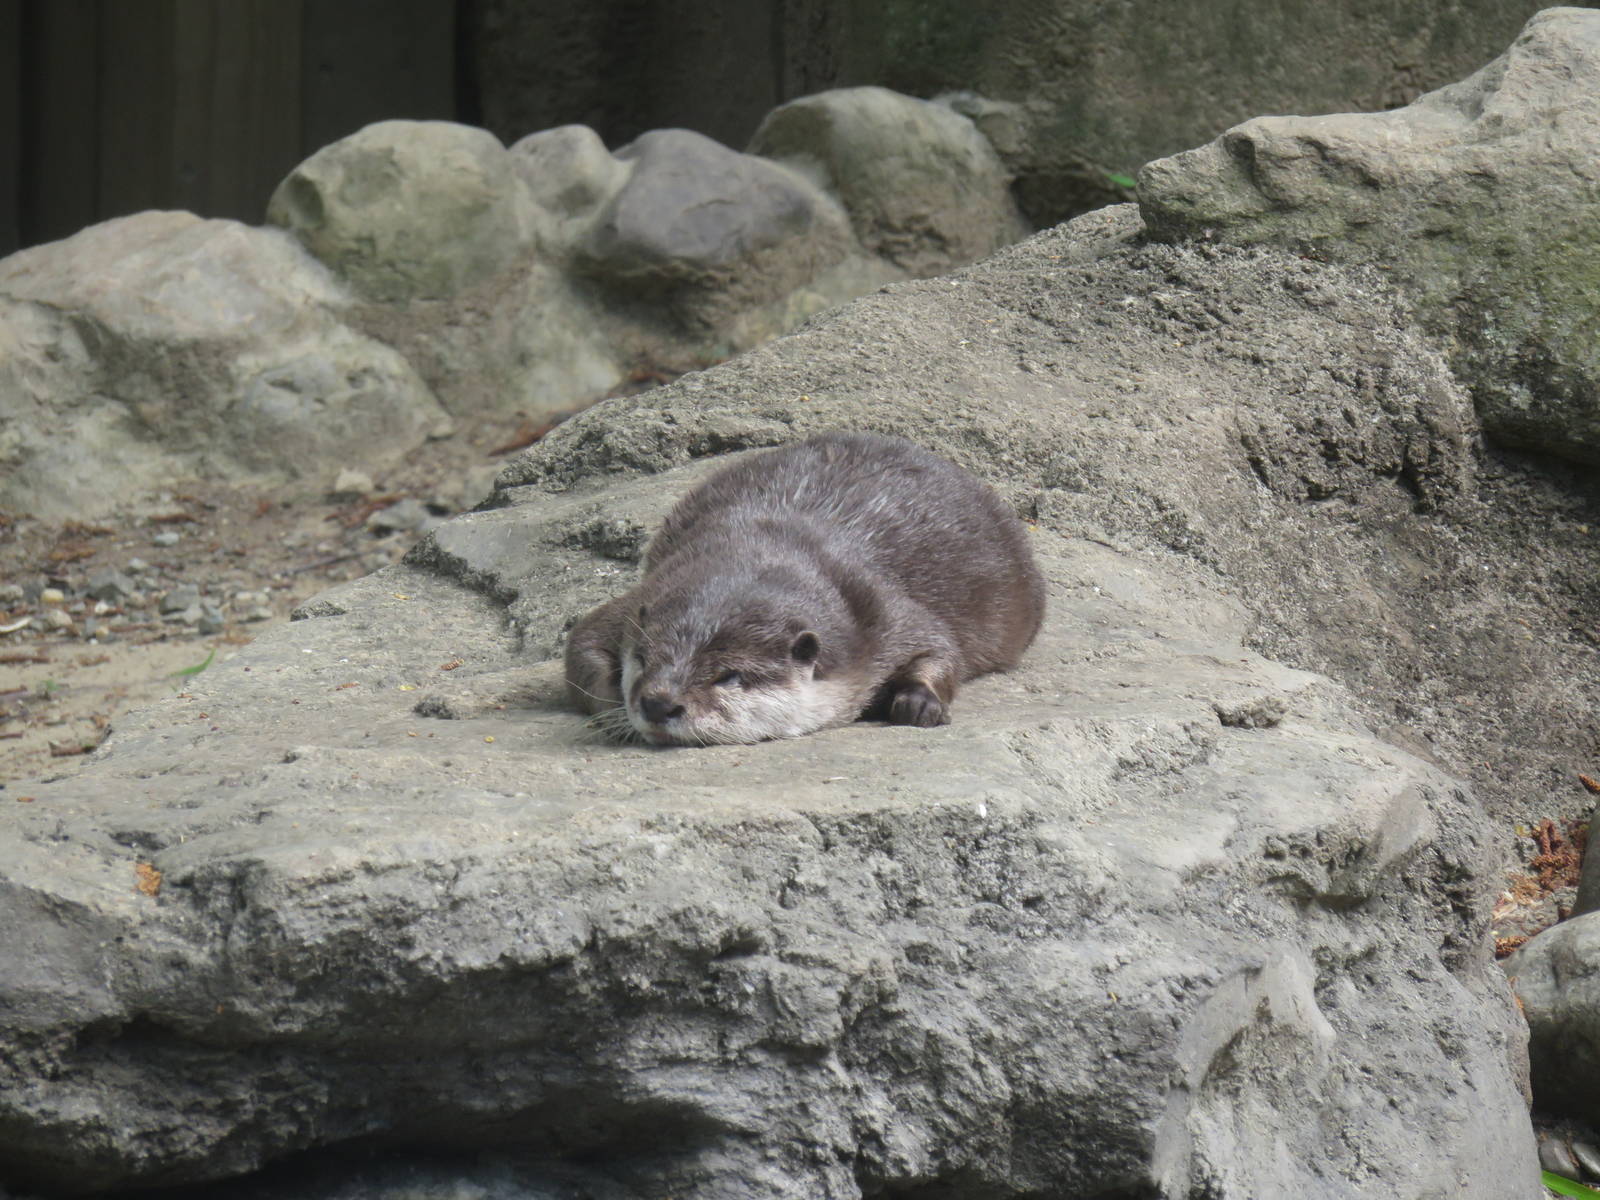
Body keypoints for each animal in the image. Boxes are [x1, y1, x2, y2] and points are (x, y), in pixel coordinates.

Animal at [563, 432, 1045, 745]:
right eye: (643, 659)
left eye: (729, 676)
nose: (659, 704)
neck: (763, 551)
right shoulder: (636, 602)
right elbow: (582, 641)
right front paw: (613, 711)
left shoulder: (876, 612)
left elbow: (942, 648)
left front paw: (919, 703)